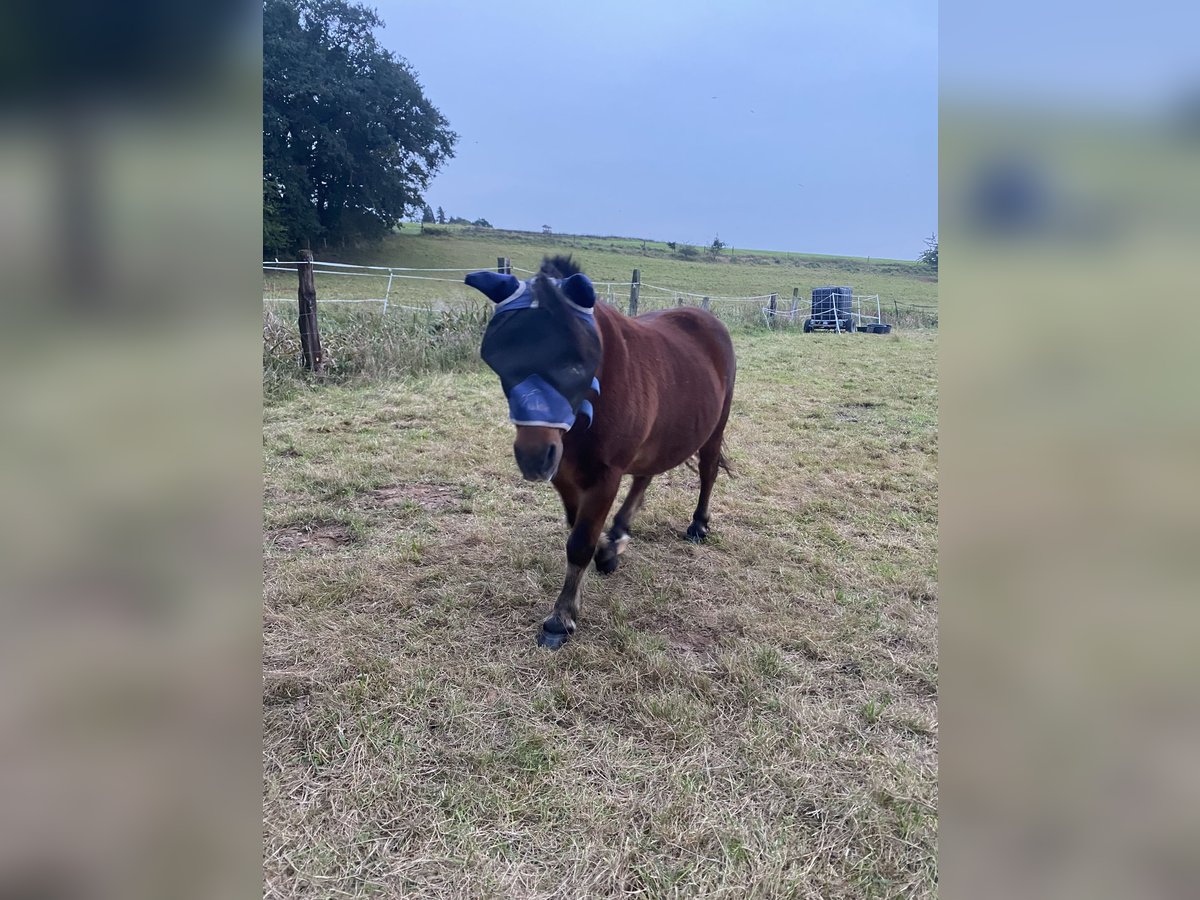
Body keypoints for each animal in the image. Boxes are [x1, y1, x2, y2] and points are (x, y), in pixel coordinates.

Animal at [463, 254, 734, 648]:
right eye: (501, 361)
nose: (533, 458)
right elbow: (578, 527)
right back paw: (619, 533)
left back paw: (698, 524)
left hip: (715, 427)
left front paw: (560, 618)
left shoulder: (606, 474)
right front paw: (607, 551)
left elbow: (580, 542)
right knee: (645, 475)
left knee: (708, 470)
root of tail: (707, 320)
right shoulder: (564, 473)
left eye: (576, 362)